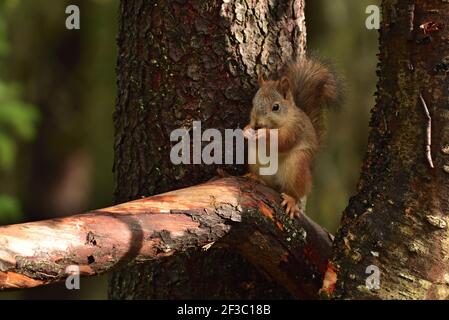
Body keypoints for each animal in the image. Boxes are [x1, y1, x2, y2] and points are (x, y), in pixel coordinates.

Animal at [245, 57, 340, 218]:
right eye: (253, 103)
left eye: (275, 107)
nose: (257, 124)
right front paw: (246, 131)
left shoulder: (295, 129)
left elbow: (283, 142)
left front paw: (265, 134)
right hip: (257, 160)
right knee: (270, 184)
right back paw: (256, 177)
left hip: (296, 165)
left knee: (296, 192)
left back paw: (291, 200)